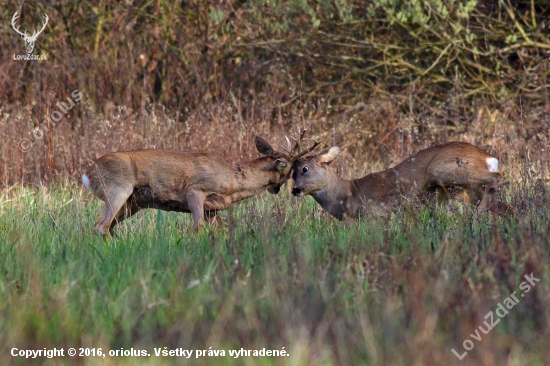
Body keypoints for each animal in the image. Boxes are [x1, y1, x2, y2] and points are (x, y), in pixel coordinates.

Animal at [84, 132, 322, 237]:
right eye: (291, 168)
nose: (294, 189)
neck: (234, 181)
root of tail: (88, 173)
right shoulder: (195, 191)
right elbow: (196, 227)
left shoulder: (213, 209)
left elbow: (223, 230)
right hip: (116, 188)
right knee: (100, 225)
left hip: (133, 203)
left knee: (108, 226)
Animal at [294, 142, 512, 219]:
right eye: (291, 172)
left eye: (305, 169)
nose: (295, 190)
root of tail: (488, 158)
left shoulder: (374, 214)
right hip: (469, 189)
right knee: (507, 205)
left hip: (447, 170)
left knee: (499, 177)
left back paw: (477, 215)